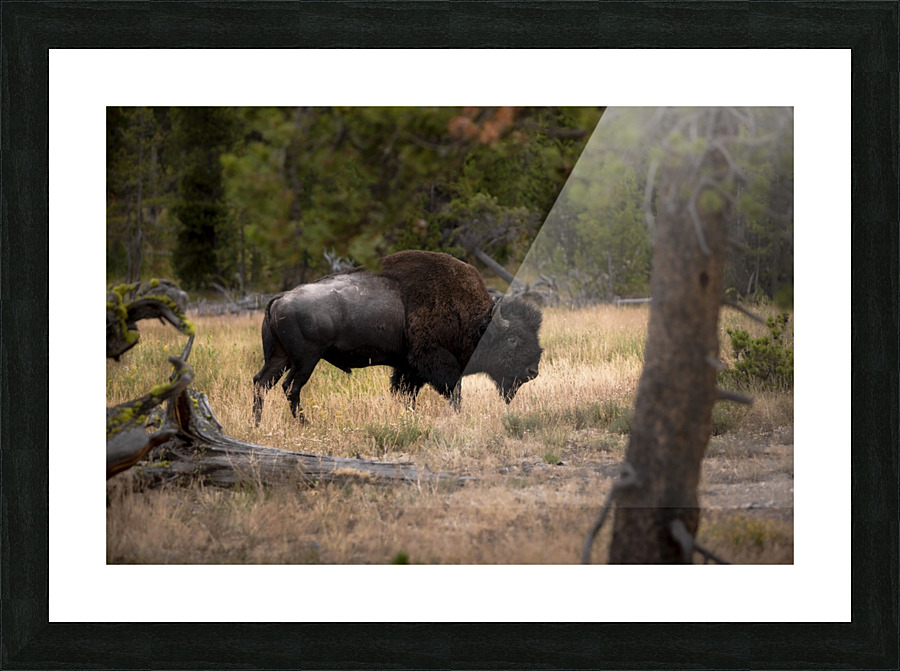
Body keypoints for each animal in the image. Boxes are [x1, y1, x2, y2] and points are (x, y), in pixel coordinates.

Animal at [252, 250, 543, 424]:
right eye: (513, 339)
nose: (533, 371)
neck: (476, 322)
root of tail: (279, 299)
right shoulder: (434, 361)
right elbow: (454, 392)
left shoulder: (408, 367)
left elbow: (405, 393)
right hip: (306, 359)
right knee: (290, 387)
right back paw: (303, 422)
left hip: (280, 358)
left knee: (261, 382)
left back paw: (257, 423)